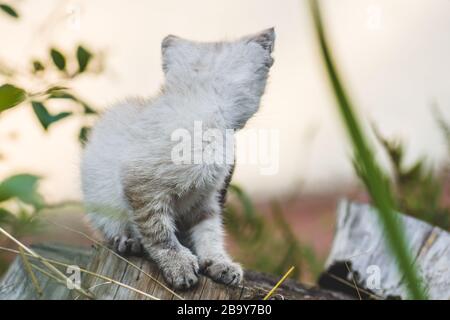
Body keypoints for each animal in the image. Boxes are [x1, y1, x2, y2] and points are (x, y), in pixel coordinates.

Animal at [82, 28, 276, 290]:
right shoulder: (141, 186)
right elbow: (160, 233)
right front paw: (179, 265)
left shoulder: (207, 198)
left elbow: (210, 234)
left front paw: (219, 262)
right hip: (99, 199)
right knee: (113, 226)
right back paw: (128, 241)